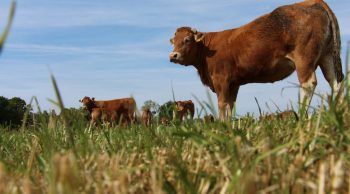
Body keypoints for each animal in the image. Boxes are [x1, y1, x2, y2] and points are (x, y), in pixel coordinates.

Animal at [170, 0, 344, 119]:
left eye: (187, 40)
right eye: (173, 41)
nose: (173, 56)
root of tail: (312, 2)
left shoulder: (221, 80)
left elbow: (222, 105)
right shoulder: (233, 83)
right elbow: (230, 106)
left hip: (304, 58)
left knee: (308, 84)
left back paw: (301, 117)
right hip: (326, 56)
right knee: (335, 83)